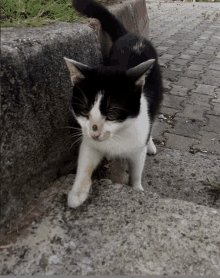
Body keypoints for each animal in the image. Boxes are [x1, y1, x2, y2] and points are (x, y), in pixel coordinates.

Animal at [64, 0, 162, 207]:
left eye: (112, 114)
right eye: (84, 111)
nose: (94, 132)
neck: (117, 136)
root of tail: (131, 35)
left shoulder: (136, 146)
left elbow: (136, 170)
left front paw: (137, 189)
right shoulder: (88, 141)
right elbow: (85, 161)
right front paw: (77, 192)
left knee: (153, 115)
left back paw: (150, 145)